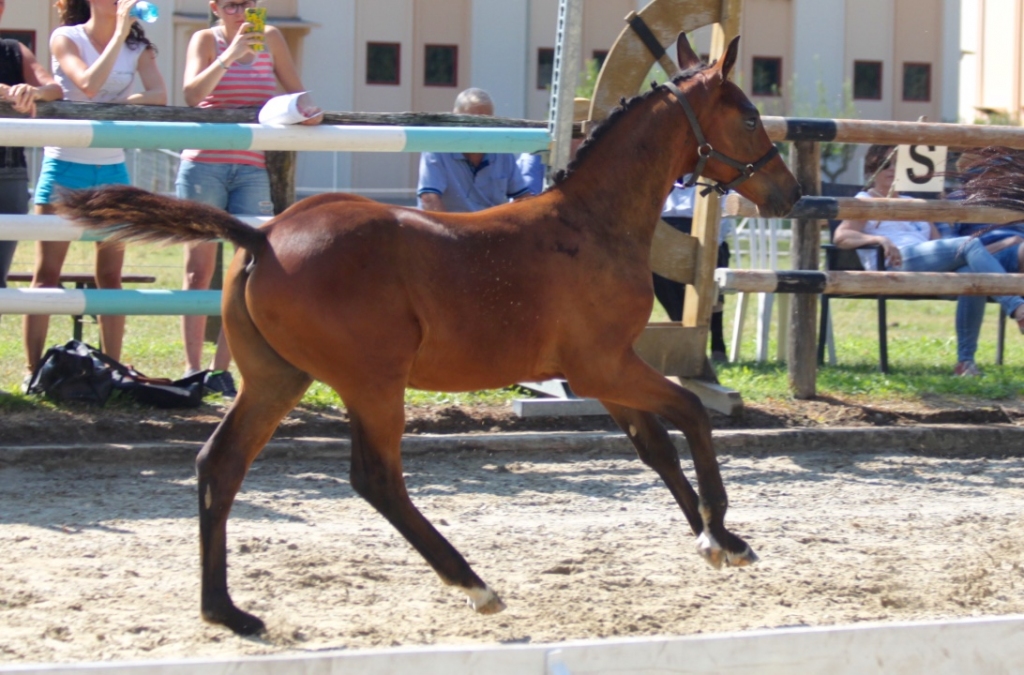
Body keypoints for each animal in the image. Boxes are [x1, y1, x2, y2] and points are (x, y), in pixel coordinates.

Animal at [58, 33, 798, 635]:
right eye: (749, 114)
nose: (789, 193)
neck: (591, 223)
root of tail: (262, 236)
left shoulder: (603, 372)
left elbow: (656, 448)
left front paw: (718, 540)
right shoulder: (603, 365)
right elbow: (692, 412)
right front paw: (722, 528)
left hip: (276, 378)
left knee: (222, 464)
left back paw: (227, 610)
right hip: (373, 381)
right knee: (376, 479)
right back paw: (474, 584)